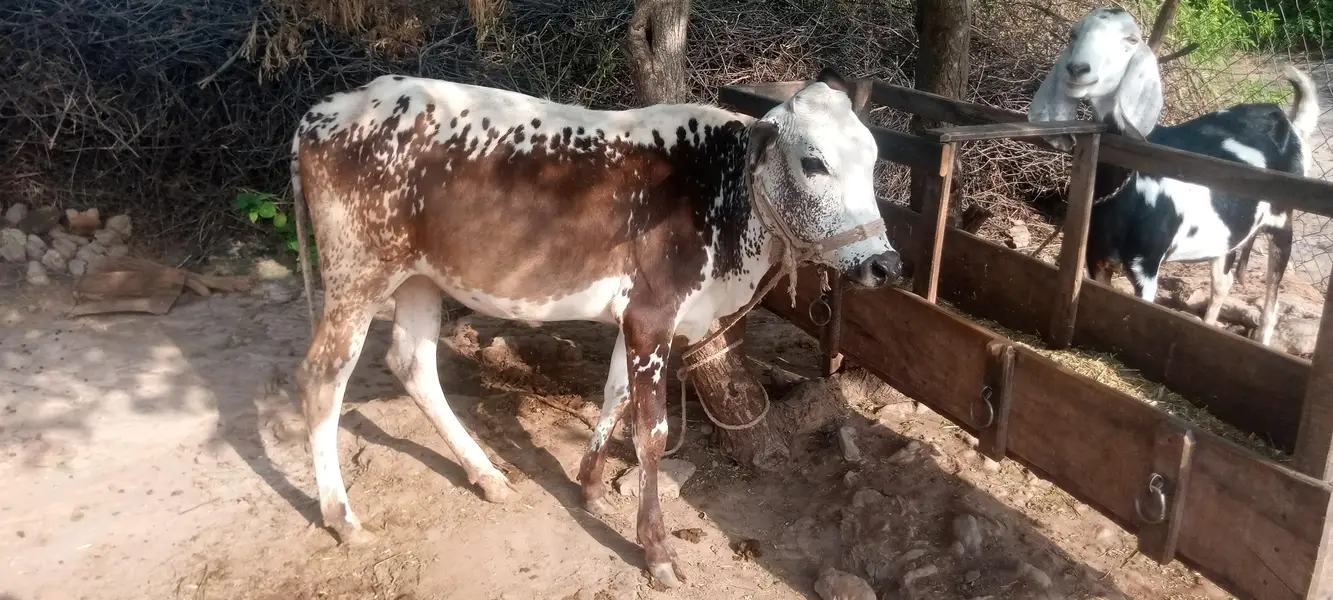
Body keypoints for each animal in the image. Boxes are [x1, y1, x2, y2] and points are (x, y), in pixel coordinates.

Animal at [289, 67, 900, 587]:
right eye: (814, 163)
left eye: (873, 159)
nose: (885, 264)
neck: (720, 195)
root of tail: (330, 108)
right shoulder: (653, 315)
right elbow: (651, 433)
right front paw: (656, 550)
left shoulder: (635, 317)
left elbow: (615, 393)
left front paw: (589, 487)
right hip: (357, 270)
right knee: (323, 377)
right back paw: (342, 517)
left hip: (419, 276)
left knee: (412, 364)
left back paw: (486, 476)